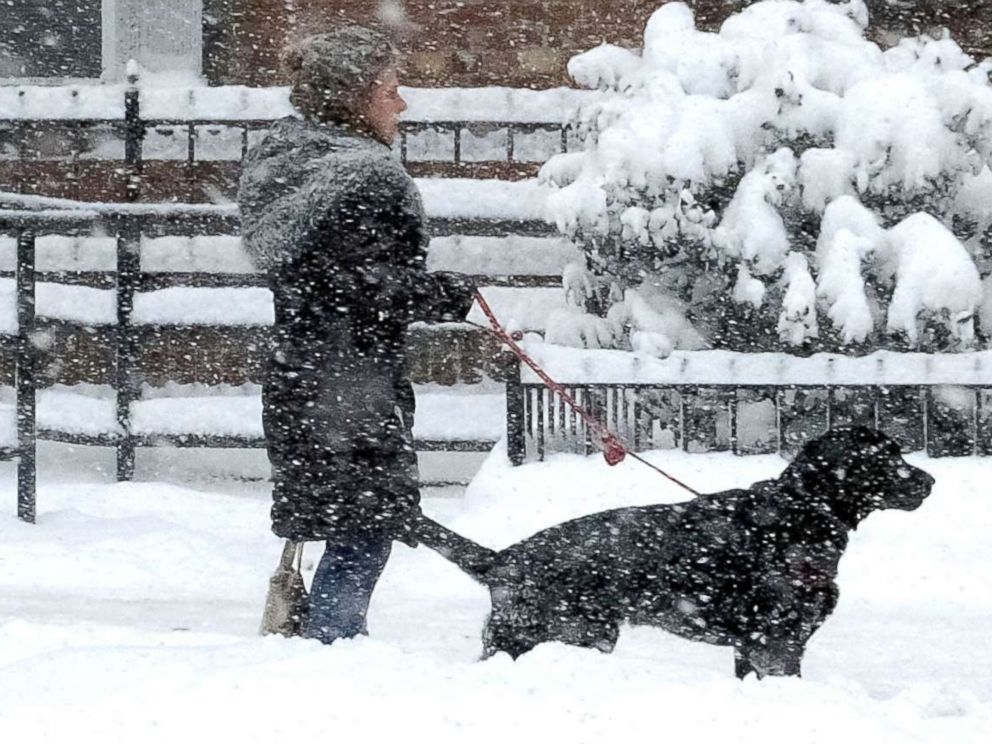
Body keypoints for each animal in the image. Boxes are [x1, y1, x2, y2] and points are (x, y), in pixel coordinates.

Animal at [414, 428, 932, 676]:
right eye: (884, 458)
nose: (929, 481)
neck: (799, 514)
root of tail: (505, 558)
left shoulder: (753, 648)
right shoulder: (776, 644)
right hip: (570, 635)